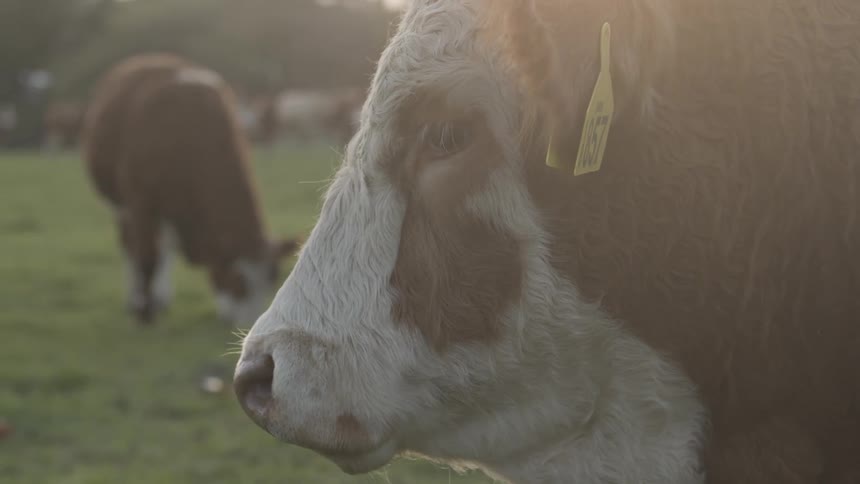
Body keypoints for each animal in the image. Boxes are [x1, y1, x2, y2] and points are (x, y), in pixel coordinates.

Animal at [81, 53, 299, 326]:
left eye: (271, 283)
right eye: (237, 281)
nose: (246, 329)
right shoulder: (140, 201)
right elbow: (146, 257)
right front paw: (144, 314)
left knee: (164, 247)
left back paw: (159, 297)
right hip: (119, 205)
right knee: (130, 246)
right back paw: (135, 299)